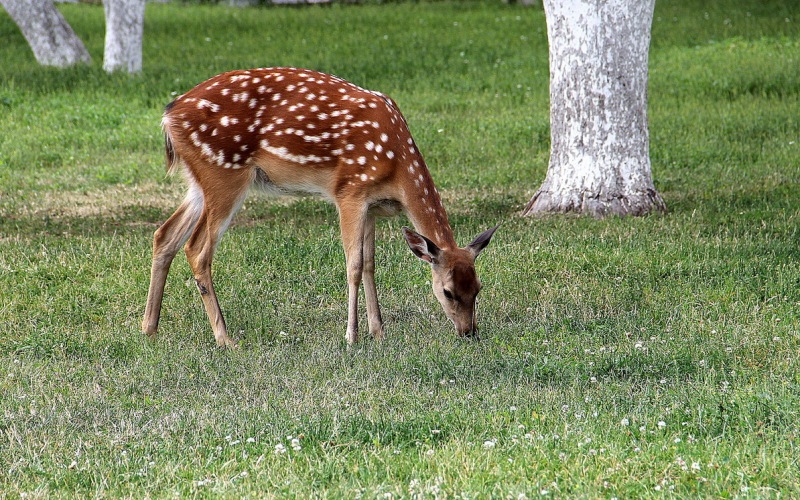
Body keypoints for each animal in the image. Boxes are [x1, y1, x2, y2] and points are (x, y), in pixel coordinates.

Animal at [142, 68, 494, 346]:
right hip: (223, 172)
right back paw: (224, 338)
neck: (398, 169)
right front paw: (352, 336)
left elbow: (370, 264)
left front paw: (378, 332)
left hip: (199, 181)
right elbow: (354, 265)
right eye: (447, 291)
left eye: (478, 287)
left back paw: (149, 328)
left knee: (165, 235)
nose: (469, 332)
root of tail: (169, 114)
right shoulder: (349, 191)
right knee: (197, 248)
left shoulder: (372, 205)